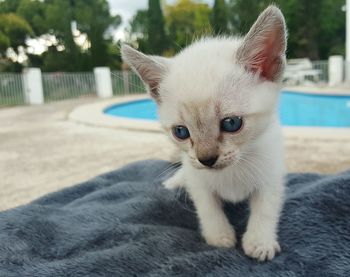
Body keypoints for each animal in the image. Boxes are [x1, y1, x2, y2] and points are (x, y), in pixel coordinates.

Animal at [123, 6, 288, 260]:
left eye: (231, 123)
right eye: (181, 132)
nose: (207, 159)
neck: (233, 170)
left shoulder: (271, 171)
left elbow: (266, 207)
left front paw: (259, 241)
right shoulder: (197, 178)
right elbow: (207, 206)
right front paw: (219, 236)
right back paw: (173, 182)